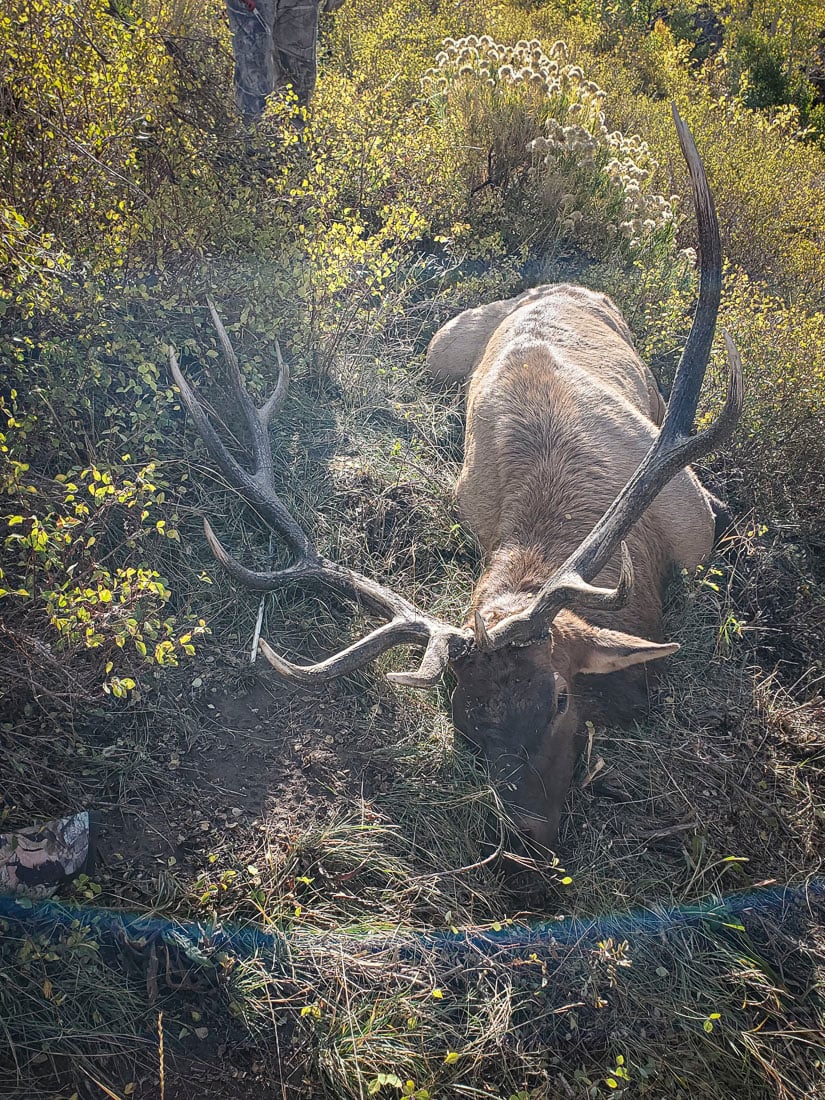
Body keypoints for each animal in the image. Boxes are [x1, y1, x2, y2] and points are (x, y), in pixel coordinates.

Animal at [168, 106, 742, 854]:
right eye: (465, 724)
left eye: (561, 697)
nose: (529, 845)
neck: (639, 554)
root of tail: (552, 282)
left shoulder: (694, 519)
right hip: (441, 348)